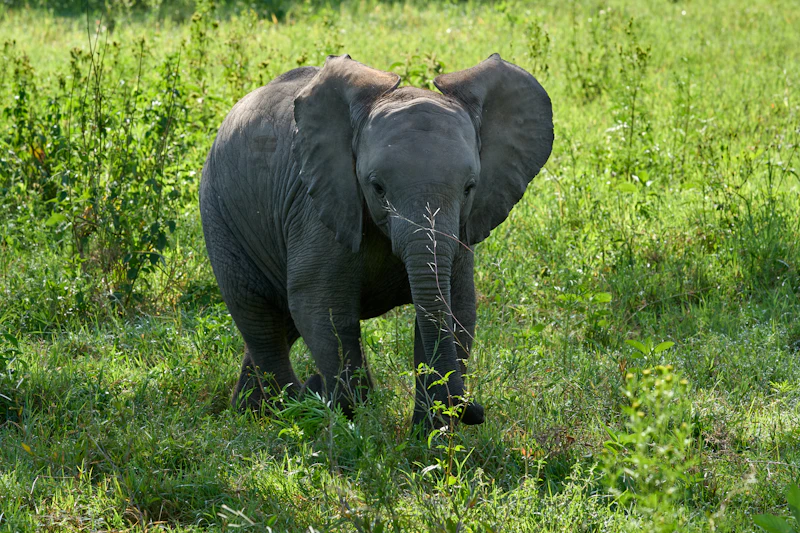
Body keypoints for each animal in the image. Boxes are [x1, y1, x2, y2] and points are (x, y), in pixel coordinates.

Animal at [200, 53, 553, 428]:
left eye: (470, 188)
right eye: (377, 187)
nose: (476, 410)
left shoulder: (460, 232)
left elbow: (456, 310)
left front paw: (429, 434)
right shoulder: (319, 206)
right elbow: (323, 310)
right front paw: (357, 424)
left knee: (282, 324)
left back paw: (251, 415)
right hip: (220, 216)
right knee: (260, 319)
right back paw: (284, 412)